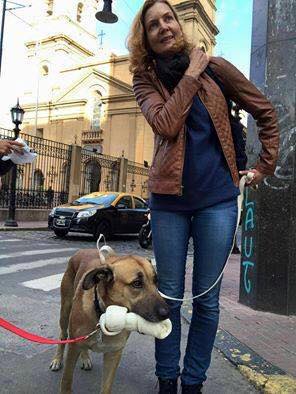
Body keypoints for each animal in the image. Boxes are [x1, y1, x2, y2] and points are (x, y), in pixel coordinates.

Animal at [49, 249, 169, 394]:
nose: (167, 313)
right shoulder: (73, 348)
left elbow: (106, 387)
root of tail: (82, 250)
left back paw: (85, 357)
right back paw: (57, 359)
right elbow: (66, 381)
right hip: (65, 311)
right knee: (63, 335)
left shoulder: (113, 354)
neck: (104, 316)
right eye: (137, 283)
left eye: (156, 281)